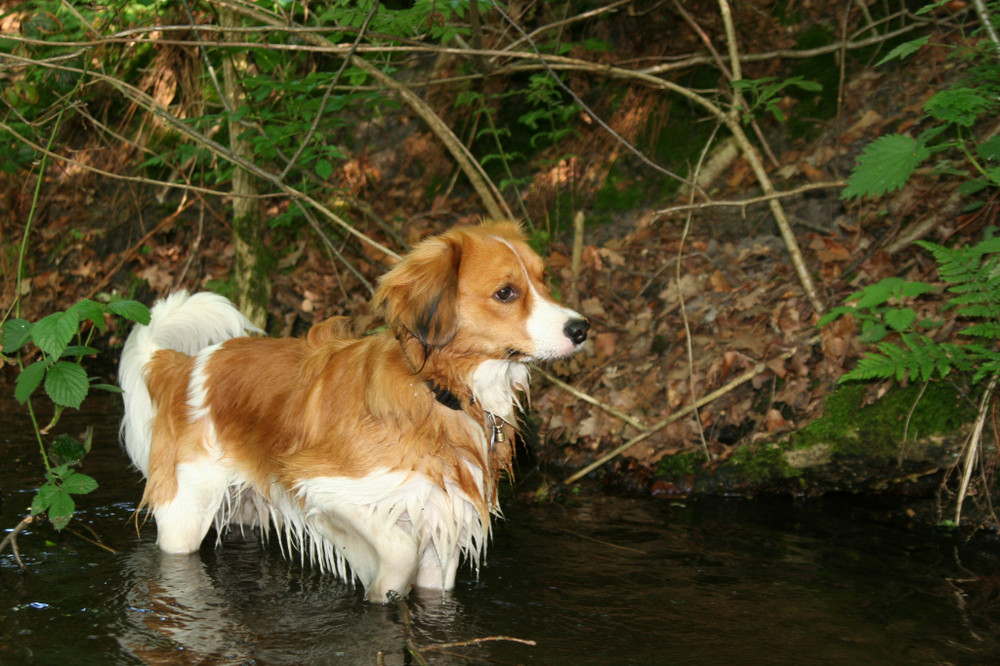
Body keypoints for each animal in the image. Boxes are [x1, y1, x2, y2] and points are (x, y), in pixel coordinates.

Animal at [118, 220, 588, 600]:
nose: (582, 328)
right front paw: (379, 584)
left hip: (246, 508)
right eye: (505, 293)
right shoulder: (321, 485)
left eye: (544, 280)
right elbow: (398, 552)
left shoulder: (442, 530)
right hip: (184, 515)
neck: (437, 392)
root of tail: (185, 364)